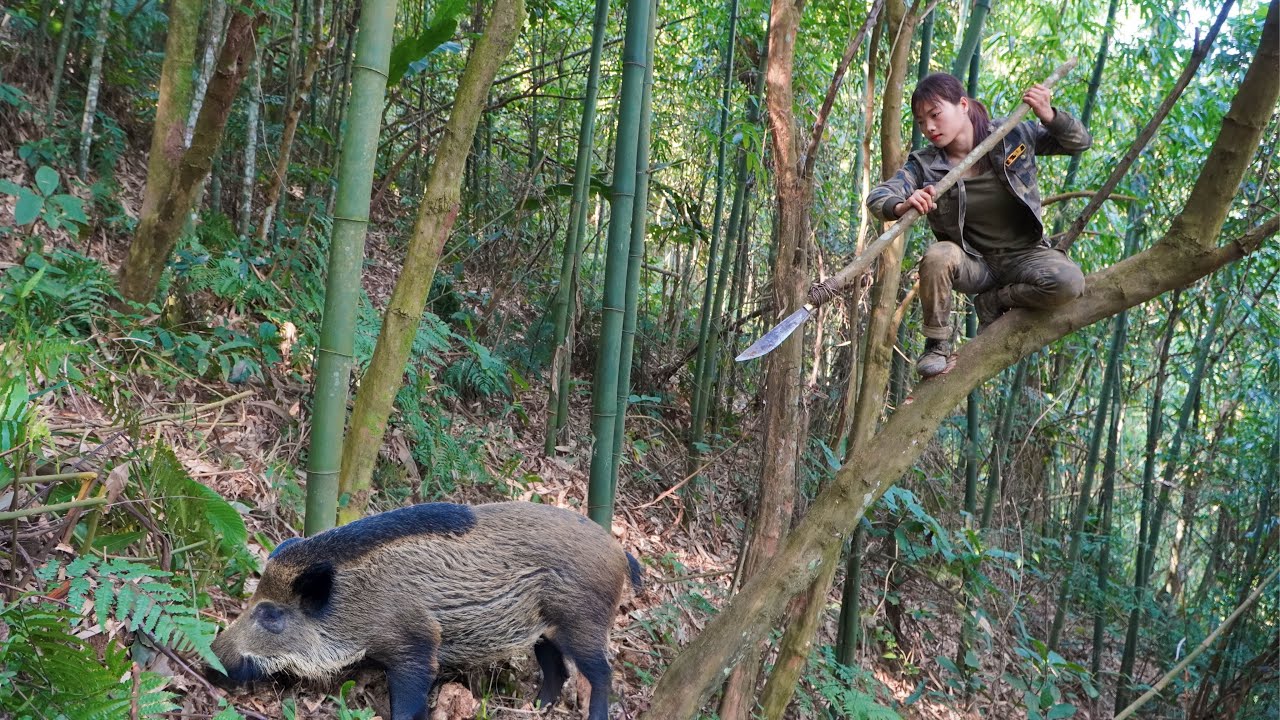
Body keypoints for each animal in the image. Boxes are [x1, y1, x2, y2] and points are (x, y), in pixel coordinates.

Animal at [208, 501, 642, 720]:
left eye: (271, 614)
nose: (210, 662)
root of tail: (619, 552)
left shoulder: (415, 643)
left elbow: (408, 699)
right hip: (544, 630)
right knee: (558, 670)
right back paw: (533, 709)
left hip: (584, 622)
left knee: (602, 673)